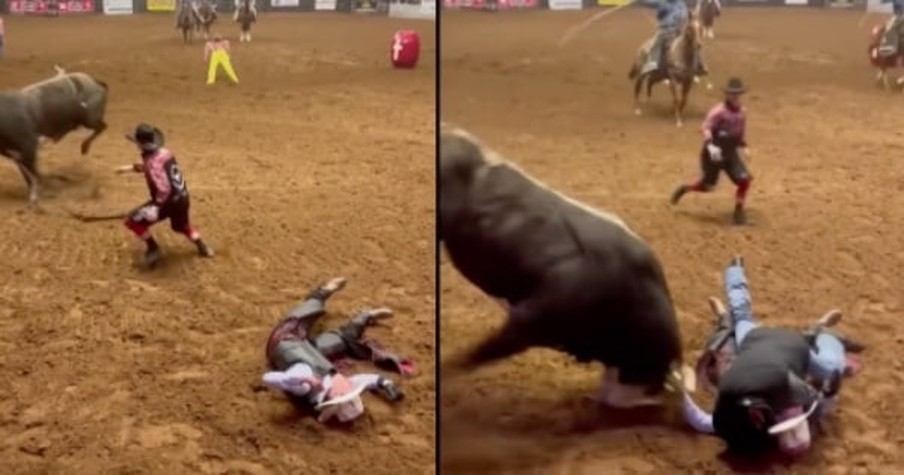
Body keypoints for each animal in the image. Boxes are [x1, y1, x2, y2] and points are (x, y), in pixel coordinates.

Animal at [0, 68, 109, 205]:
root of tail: (95, 82)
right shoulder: (17, 155)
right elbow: (28, 174)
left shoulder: (29, 147)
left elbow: (34, 174)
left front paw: (35, 197)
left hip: (90, 119)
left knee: (102, 127)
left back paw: (84, 147)